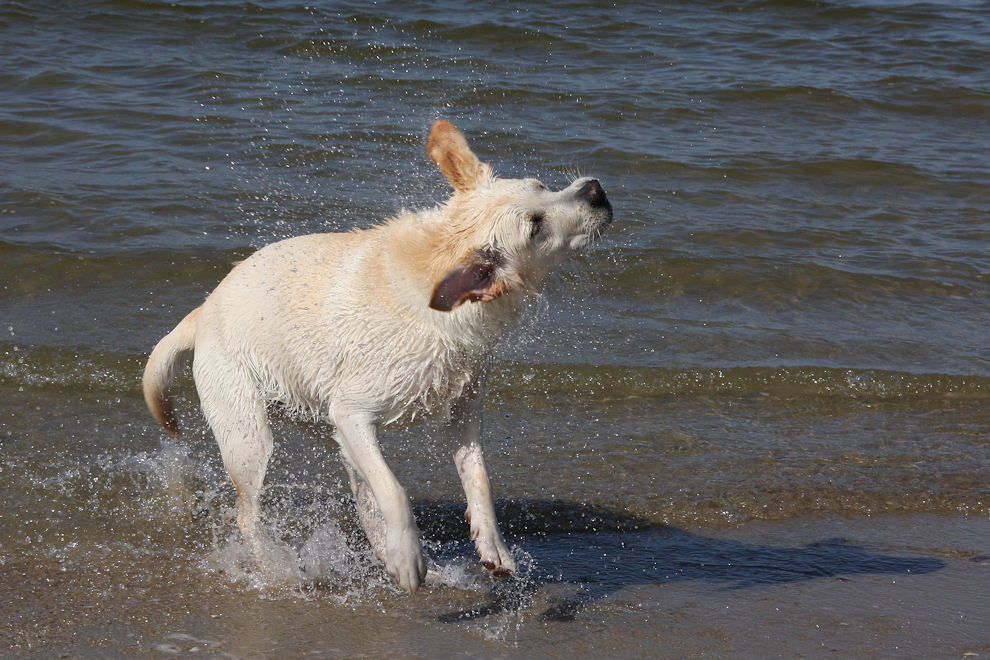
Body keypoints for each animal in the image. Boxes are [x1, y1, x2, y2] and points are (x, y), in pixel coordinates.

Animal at [142, 120, 612, 592]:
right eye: (535, 226)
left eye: (541, 187)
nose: (595, 190)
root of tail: (203, 310)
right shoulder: (352, 412)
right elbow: (395, 491)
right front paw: (409, 558)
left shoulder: (462, 413)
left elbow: (479, 478)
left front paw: (493, 547)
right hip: (250, 436)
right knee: (248, 515)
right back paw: (280, 568)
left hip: (326, 428)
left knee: (364, 506)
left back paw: (404, 560)